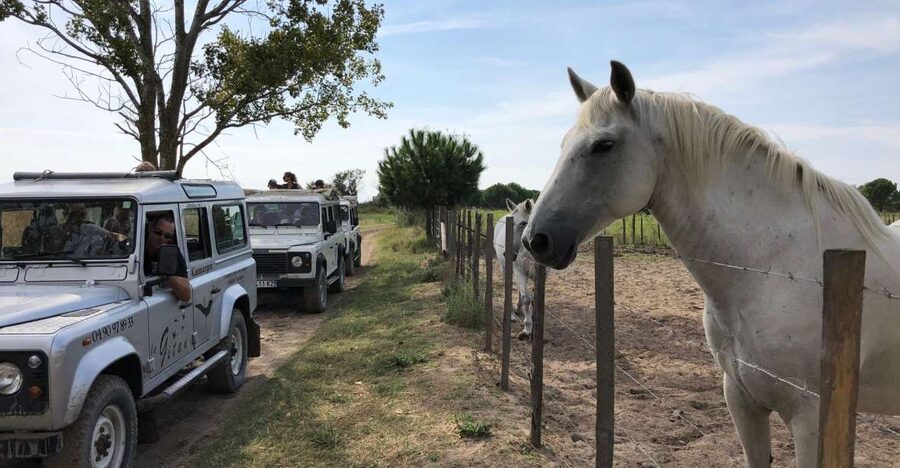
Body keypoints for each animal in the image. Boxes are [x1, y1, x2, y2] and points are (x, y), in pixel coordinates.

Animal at [494, 198, 538, 339]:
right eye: (511, 223)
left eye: (524, 223)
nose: (506, 252)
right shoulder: (520, 272)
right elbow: (526, 299)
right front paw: (527, 328)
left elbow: (533, 298)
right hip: (505, 268)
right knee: (508, 289)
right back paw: (512, 315)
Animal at [522, 61, 900, 467]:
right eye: (564, 144)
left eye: (603, 145)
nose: (535, 240)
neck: (774, 269)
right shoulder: (742, 400)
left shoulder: (811, 420)